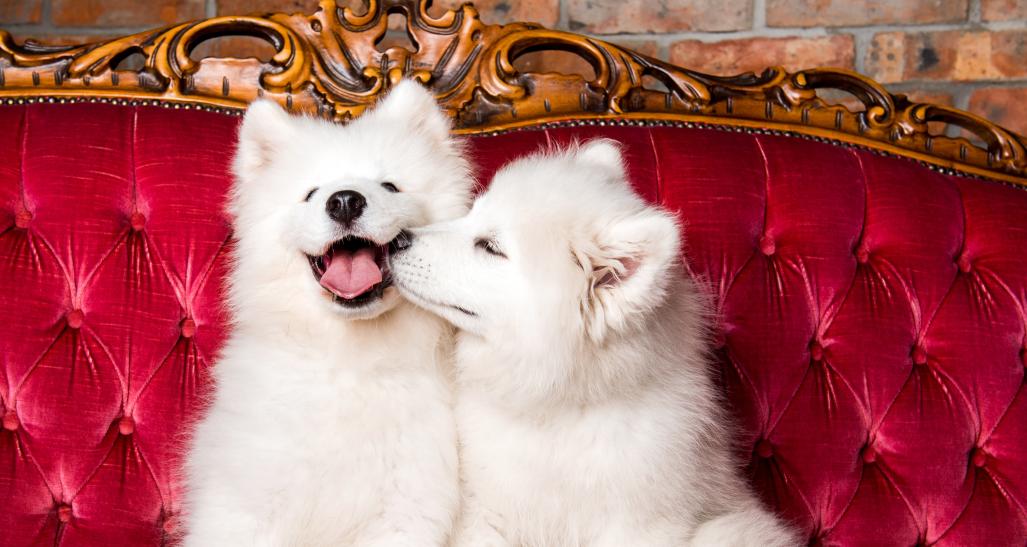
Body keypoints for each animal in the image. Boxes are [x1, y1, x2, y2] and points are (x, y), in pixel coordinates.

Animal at [182, 81, 470, 545]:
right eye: (311, 193)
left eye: (390, 186)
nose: (346, 200)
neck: (349, 361)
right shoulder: (248, 506)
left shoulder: (403, 513)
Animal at [388, 140, 796, 545]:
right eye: (471, 213)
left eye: (490, 246)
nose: (396, 240)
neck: (558, 407)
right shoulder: (486, 513)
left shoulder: (637, 525)